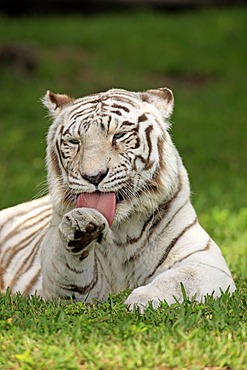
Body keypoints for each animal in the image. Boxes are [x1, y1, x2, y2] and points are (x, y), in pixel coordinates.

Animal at [0, 87, 235, 312]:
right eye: (74, 142)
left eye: (119, 135)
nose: (93, 176)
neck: (123, 231)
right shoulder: (71, 287)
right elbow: (69, 267)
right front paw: (80, 228)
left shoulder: (205, 263)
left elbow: (179, 281)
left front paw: (141, 301)